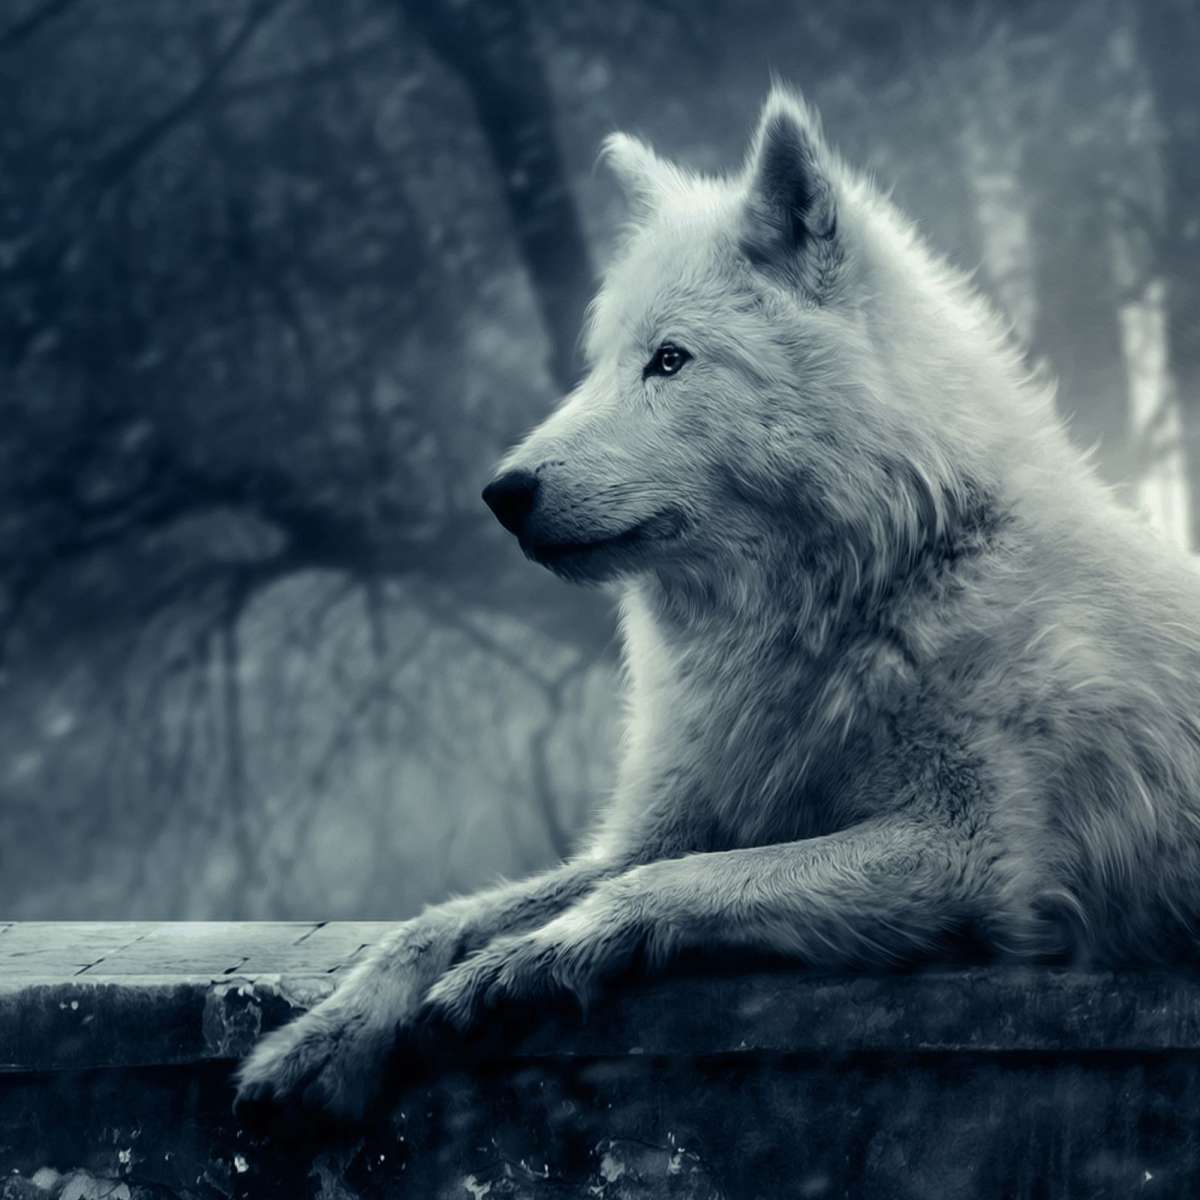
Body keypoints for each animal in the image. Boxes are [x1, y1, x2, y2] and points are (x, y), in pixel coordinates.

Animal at [236, 87, 1200, 1122]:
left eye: (669, 360)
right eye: (601, 363)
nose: (503, 493)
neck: (873, 590)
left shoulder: (974, 858)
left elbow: (678, 882)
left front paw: (537, 956)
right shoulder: (663, 824)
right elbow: (439, 921)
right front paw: (323, 1037)